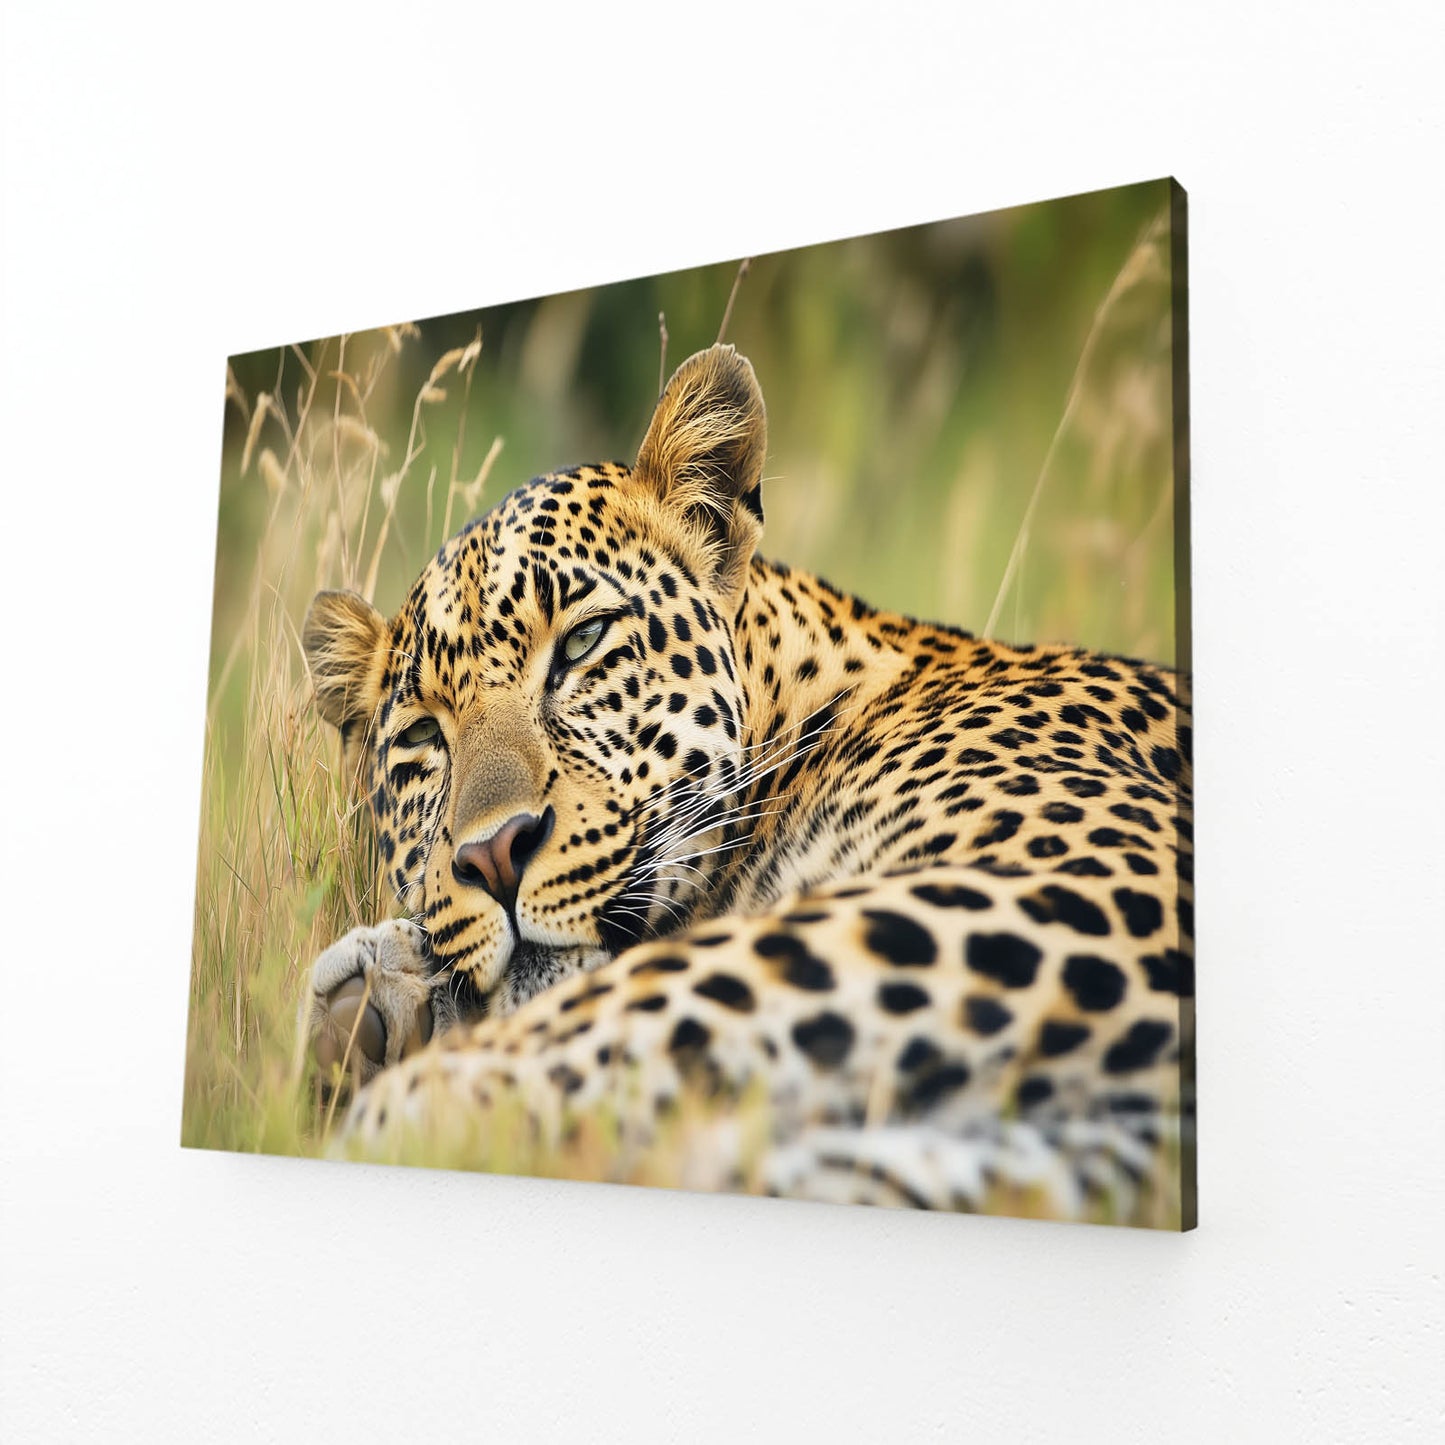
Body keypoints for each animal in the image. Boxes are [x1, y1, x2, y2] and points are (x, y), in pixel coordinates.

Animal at [301, 342, 1195, 1225]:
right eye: (423, 735)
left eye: (583, 642)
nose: (493, 855)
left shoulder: (1076, 882)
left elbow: (663, 993)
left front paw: (402, 1104)